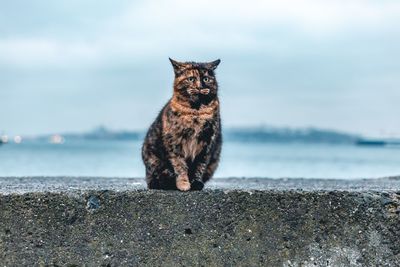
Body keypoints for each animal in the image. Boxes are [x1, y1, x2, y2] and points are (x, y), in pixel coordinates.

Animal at [141, 57, 222, 192]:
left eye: (206, 79)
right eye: (191, 79)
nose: (200, 87)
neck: (196, 112)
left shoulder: (206, 144)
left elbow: (200, 166)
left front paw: (196, 183)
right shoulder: (175, 142)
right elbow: (180, 166)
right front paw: (184, 184)